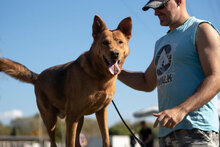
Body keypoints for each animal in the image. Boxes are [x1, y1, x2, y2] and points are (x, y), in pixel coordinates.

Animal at [0, 15, 131, 146]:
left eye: (120, 42)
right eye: (105, 43)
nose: (115, 54)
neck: (100, 75)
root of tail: (38, 77)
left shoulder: (101, 112)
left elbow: (106, 139)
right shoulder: (72, 117)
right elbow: (70, 142)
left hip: (79, 119)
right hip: (51, 119)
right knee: (54, 142)